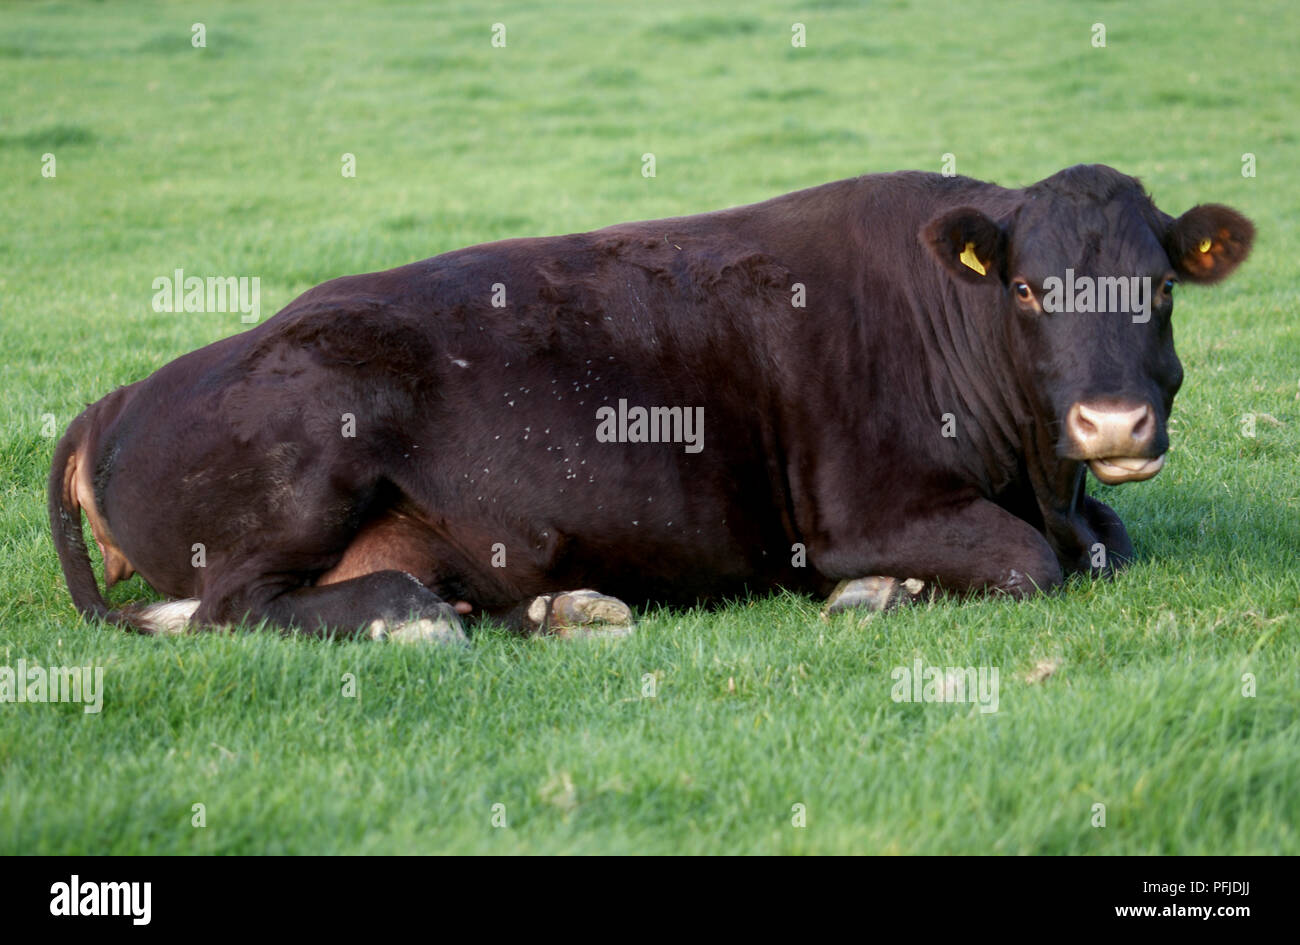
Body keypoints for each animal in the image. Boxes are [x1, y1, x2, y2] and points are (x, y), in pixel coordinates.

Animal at [48, 164, 1254, 643]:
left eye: (1158, 286)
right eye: (1027, 288)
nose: (1111, 424)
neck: (1033, 472)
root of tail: (123, 393)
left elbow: (1108, 540)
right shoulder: (861, 509)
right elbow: (1031, 561)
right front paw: (882, 590)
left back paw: (558, 609)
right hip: (306, 457)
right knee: (235, 608)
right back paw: (410, 616)